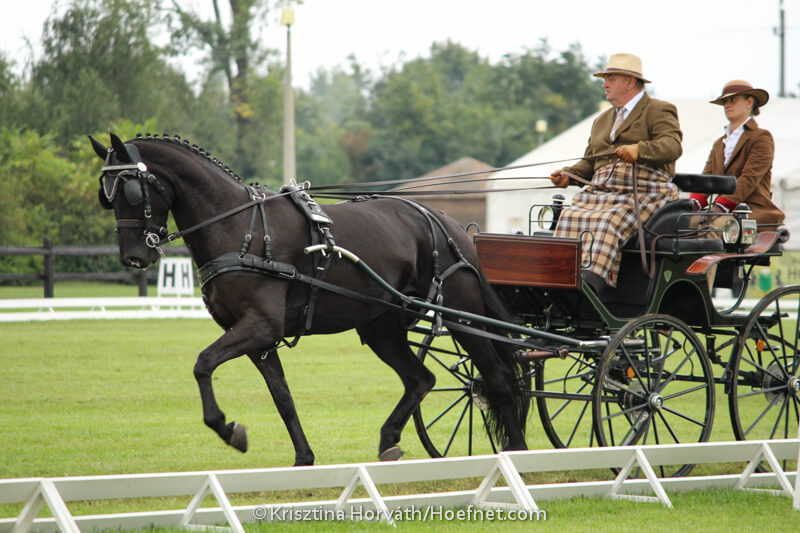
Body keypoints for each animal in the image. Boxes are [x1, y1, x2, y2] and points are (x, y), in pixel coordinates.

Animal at [91, 132, 527, 465]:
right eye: (105, 194)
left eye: (132, 190)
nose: (134, 257)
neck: (239, 226)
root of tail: (448, 224)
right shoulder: (260, 338)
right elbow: (282, 396)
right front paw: (302, 458)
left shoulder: (259, 326)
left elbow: (203, 363)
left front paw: (227, 427)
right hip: (381, 328)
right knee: (421, 379)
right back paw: (389, 440)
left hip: (462, 315)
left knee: (497, 377)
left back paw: (518, 450)